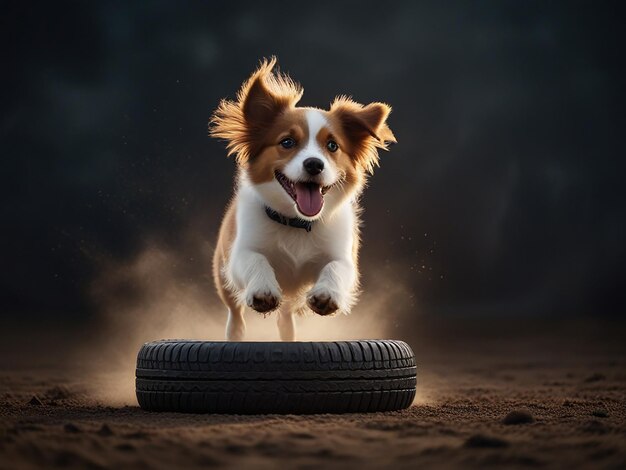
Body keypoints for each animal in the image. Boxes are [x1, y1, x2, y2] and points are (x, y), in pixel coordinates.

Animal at [210, 58, 394, 340]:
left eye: (332, 146)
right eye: (287, 142)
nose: (314, 164)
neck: (297, 223)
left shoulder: (343, 256)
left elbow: (337, 268)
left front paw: (327, 295)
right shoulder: (240, 252)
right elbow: (254, 259)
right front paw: (262, 289)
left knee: (285, 321)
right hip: (223, 276)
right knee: (235, 314)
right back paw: (235, 334)